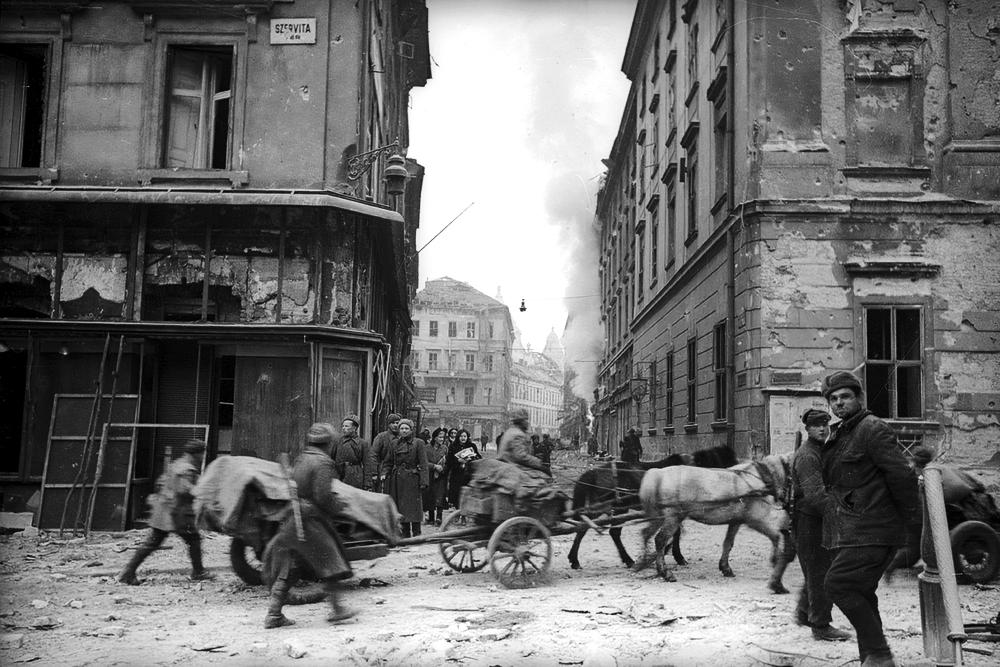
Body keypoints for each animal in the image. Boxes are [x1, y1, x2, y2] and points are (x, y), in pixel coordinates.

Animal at [568, 446, 740, 572]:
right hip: (616, 508)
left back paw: (574, 559)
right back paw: (626, 560)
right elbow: (676, 533)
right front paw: (677, 556)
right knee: (611, 532)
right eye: (729, 462)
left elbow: (676, 533)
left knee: (583, 528)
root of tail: (592, 473)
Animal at [632, 454, 796, 596]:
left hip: (659, 518)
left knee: (646, 534)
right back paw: (665, 572)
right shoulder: (754, 519)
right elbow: (775, 535)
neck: (758, 478)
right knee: (660, 540)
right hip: (673, 518)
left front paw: (725, 568)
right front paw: (775, 559)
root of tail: (657, 474)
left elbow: (728, 543)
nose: (788, 503)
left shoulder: (736, 521)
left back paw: (643, 562)